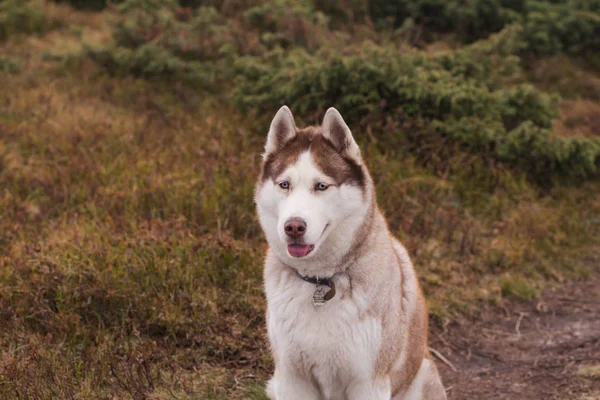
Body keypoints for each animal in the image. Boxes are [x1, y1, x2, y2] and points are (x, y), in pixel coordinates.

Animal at [255, 104, 448, 398]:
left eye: (321, 186)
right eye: (284, 184)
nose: (294, 226)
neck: (321, 281)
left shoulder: (368, 382)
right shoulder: (292, 378)